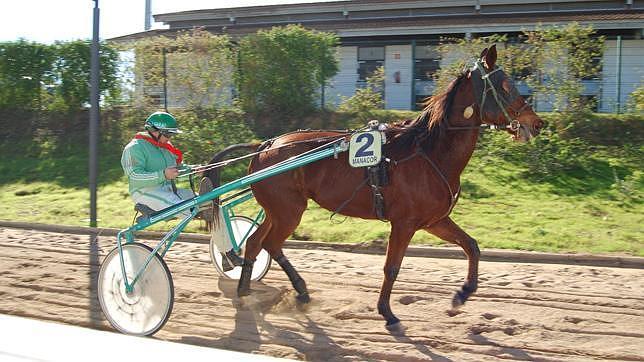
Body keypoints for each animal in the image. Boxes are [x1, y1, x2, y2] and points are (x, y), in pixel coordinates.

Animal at [205, 45, 544, 330]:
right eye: (504, 86)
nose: (537, 123)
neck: (428, 152)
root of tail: (265, 145)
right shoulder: (404, 223)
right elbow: (391, 267)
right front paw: (387, 312)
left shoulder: (434, 220)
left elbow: (471, 245)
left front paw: (462, 294)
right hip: (289, 211)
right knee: (270, 244)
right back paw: (291, 291)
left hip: (279, 210)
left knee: (256, 243)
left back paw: (252, 291)